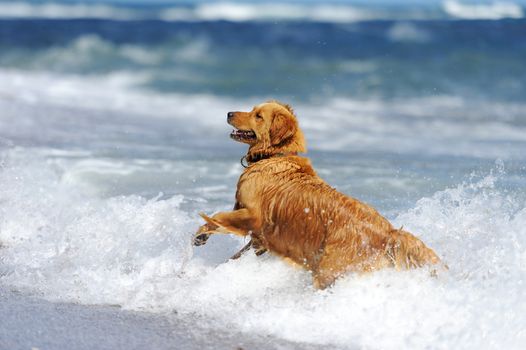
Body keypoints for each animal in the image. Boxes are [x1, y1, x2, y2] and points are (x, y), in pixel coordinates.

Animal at [194, 101, 442, 290]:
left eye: (258, 116)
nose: (229, 113)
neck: (274, 155)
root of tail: (388, 233)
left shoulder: (254, 215)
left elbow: (218, 216)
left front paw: (201, 233)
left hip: (329, 270)